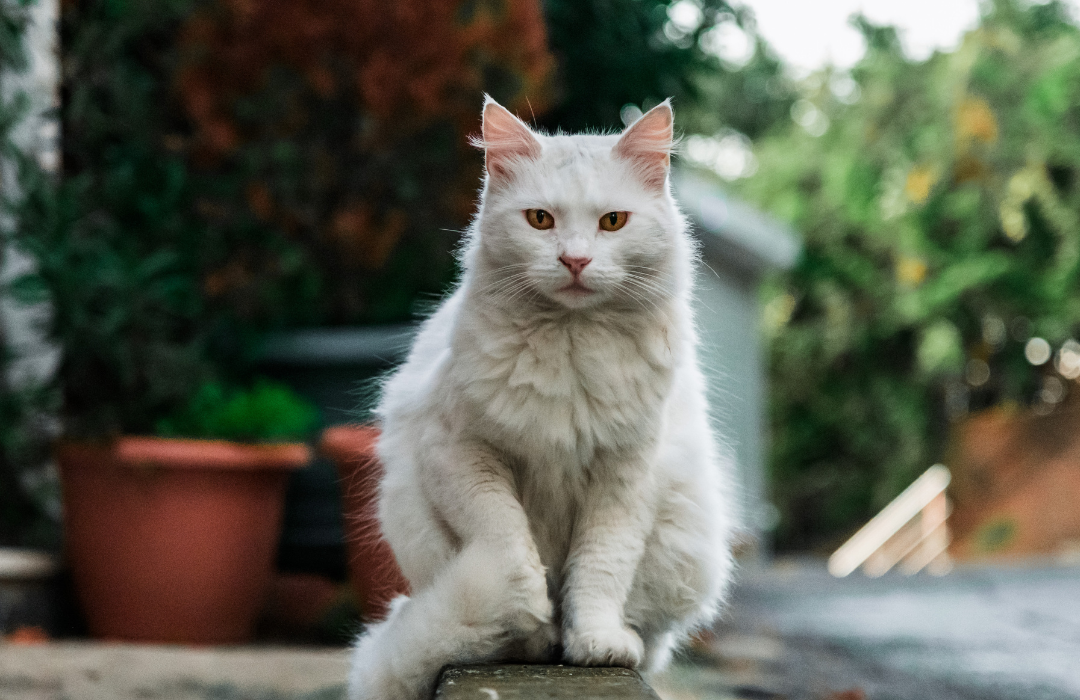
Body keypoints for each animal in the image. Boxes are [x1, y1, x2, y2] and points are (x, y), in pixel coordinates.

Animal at [349, 95, 738, 695]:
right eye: (540, 220)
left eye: (612, 222)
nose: (574, 260)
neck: (571, 345)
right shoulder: (462, 457)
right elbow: (509, 547)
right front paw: (529, 612)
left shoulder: (625, 478)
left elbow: (599, 570)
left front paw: (595, 642)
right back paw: (530, 641)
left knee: (652, 644)